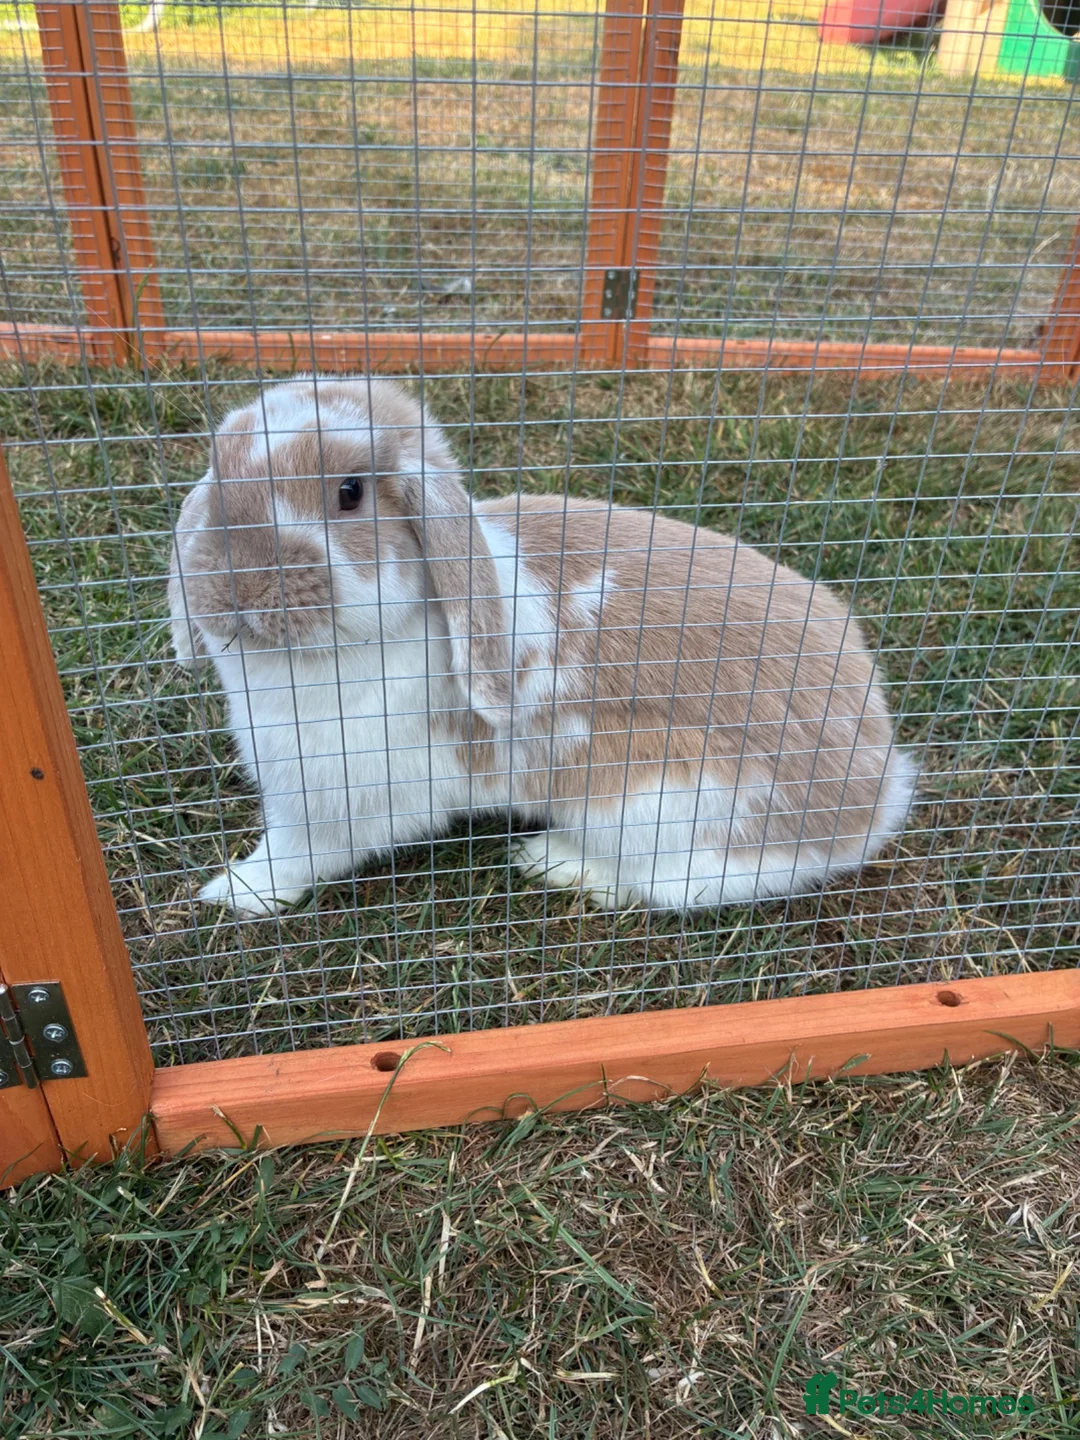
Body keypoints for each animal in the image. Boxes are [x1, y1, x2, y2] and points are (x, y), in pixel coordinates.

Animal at [169, 374, 916, 918]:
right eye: (217, 474)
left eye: (350, 492)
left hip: (659, 804)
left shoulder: (344, 803)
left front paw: (234, 892)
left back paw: (552, 860)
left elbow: (297, 855)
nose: (231, 585)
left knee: (670, 886)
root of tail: (876, 793)